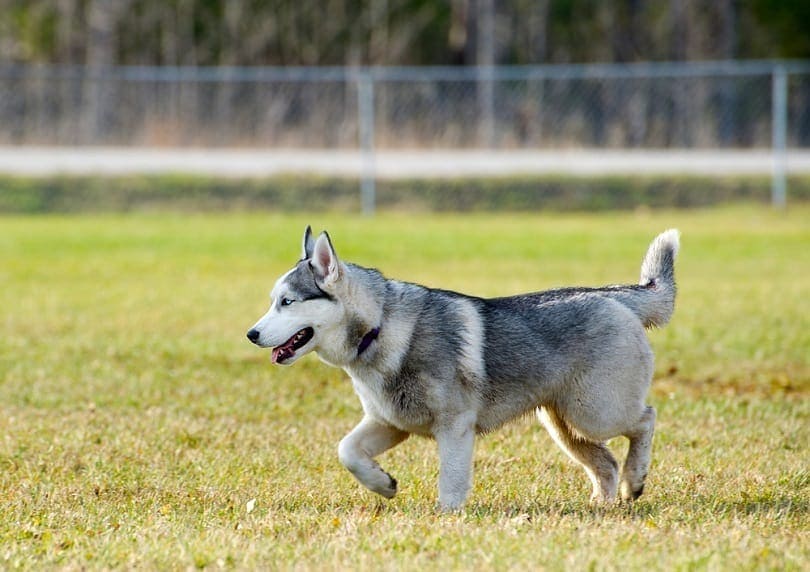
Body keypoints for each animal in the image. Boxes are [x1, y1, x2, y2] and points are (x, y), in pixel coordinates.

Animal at [246, 226, 676, 508]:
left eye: (287, 302)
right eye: (272, 301)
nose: (251, 334)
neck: (380, 327)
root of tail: (612, 296)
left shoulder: (454, 426)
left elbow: (450, 481)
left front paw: (447, 519)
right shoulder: (389, 422)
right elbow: (347, 451)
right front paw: (383, 485)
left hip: (596, 412)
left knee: (646, 419)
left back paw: (635, 482)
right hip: (564, 423)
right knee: (605, 462)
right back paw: (604, 503)